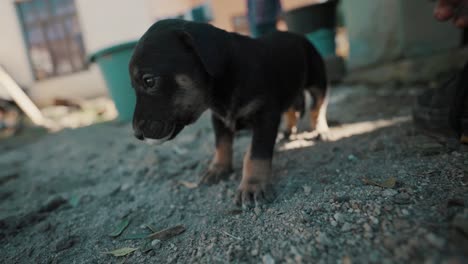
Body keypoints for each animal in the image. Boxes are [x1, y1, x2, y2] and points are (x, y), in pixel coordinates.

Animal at [128, 19, 328, 207]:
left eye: (149, 81)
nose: (137, 134)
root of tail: (297, 35)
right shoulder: (218, 118)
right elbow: (221, 144)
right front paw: (218, 168)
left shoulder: (265, 116)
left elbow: (256, 153)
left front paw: (253, 185)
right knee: (291, 108)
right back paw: (287, 131)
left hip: (317, 80)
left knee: (318, 107)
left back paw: (322, 130)